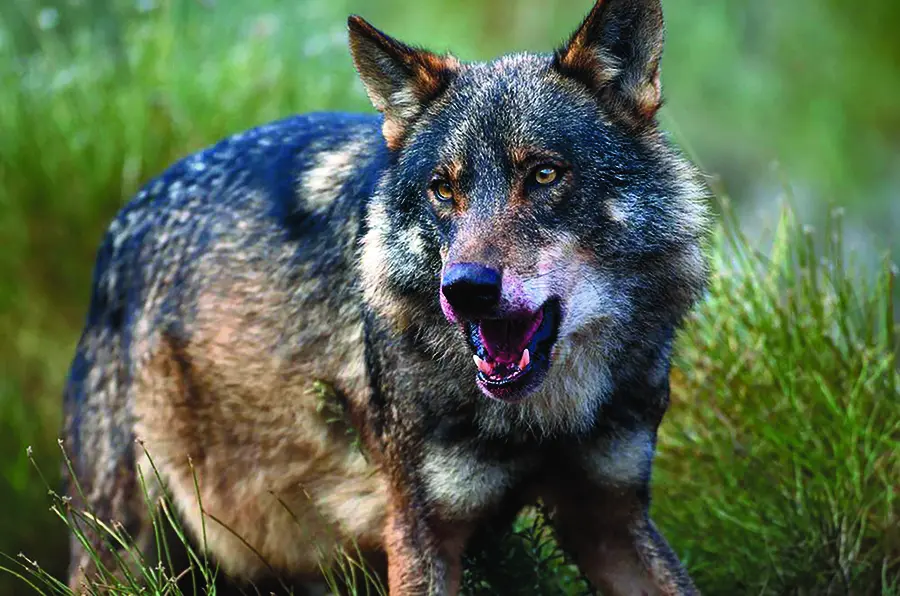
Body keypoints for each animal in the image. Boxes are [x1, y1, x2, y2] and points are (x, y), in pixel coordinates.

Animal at [62, 0, 709, 593]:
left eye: (545, 175)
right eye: (443, 189)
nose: (465, 290)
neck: (544, 419)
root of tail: (123, 222)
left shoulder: (611, 517)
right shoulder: (420, 530)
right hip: (126, 543)